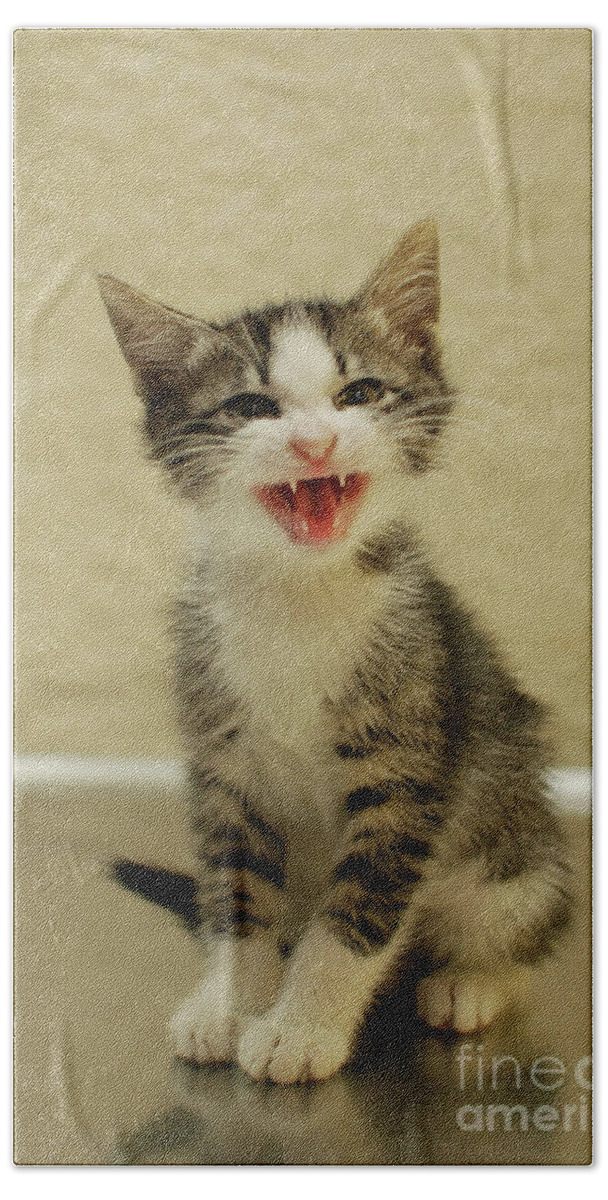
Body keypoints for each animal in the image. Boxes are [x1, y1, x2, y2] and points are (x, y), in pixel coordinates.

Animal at [98, 220, 570, 1084]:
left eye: (361, 394)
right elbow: (235, 899)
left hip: (513, 842)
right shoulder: (224, 764)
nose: (316, 443)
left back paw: (473, 979)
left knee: (521, 917)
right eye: (250, 406)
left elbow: (360, 909)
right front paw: (228, 1003)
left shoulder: (411, 764)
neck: (299, 594)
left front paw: (300, 1027)